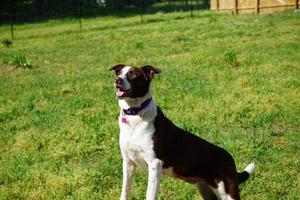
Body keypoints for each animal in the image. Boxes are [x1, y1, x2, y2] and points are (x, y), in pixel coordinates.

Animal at [110, 64, 255, 200]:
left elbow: (150, 194)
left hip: (228, 192)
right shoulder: (128, 162)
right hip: (207, 190)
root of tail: (231, 160)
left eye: (133, 75)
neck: (135, 115)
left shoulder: (155, 164)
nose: (117, 80)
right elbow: (125, 191)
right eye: (119, 73)